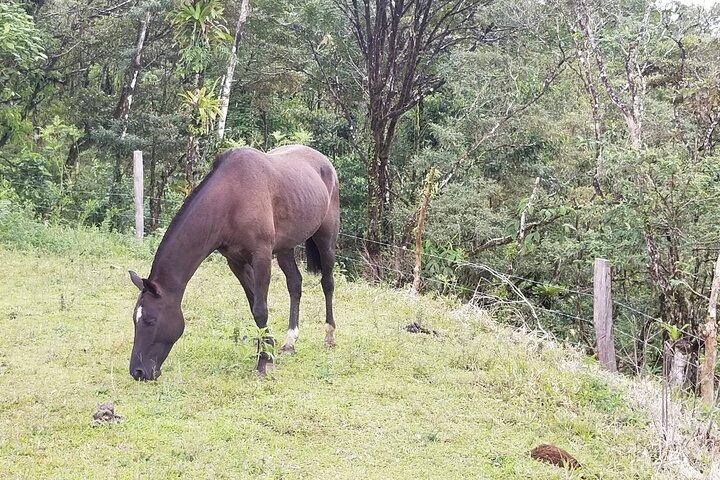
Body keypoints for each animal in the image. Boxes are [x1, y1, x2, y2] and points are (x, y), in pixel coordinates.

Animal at [127, 145, 340, 380]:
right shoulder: (236, 261)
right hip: (285, 248)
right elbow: (254, 305)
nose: (138, 371)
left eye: (150, 320)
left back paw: (329, 335)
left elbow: (260, 309)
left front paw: (263, 362)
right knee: (295, 284)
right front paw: (268, 351)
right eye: (134, 319)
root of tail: (324, 161)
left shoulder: (261, 256)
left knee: (327, 283)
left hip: (326, 239)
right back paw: (290, 341)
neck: (231, 200)